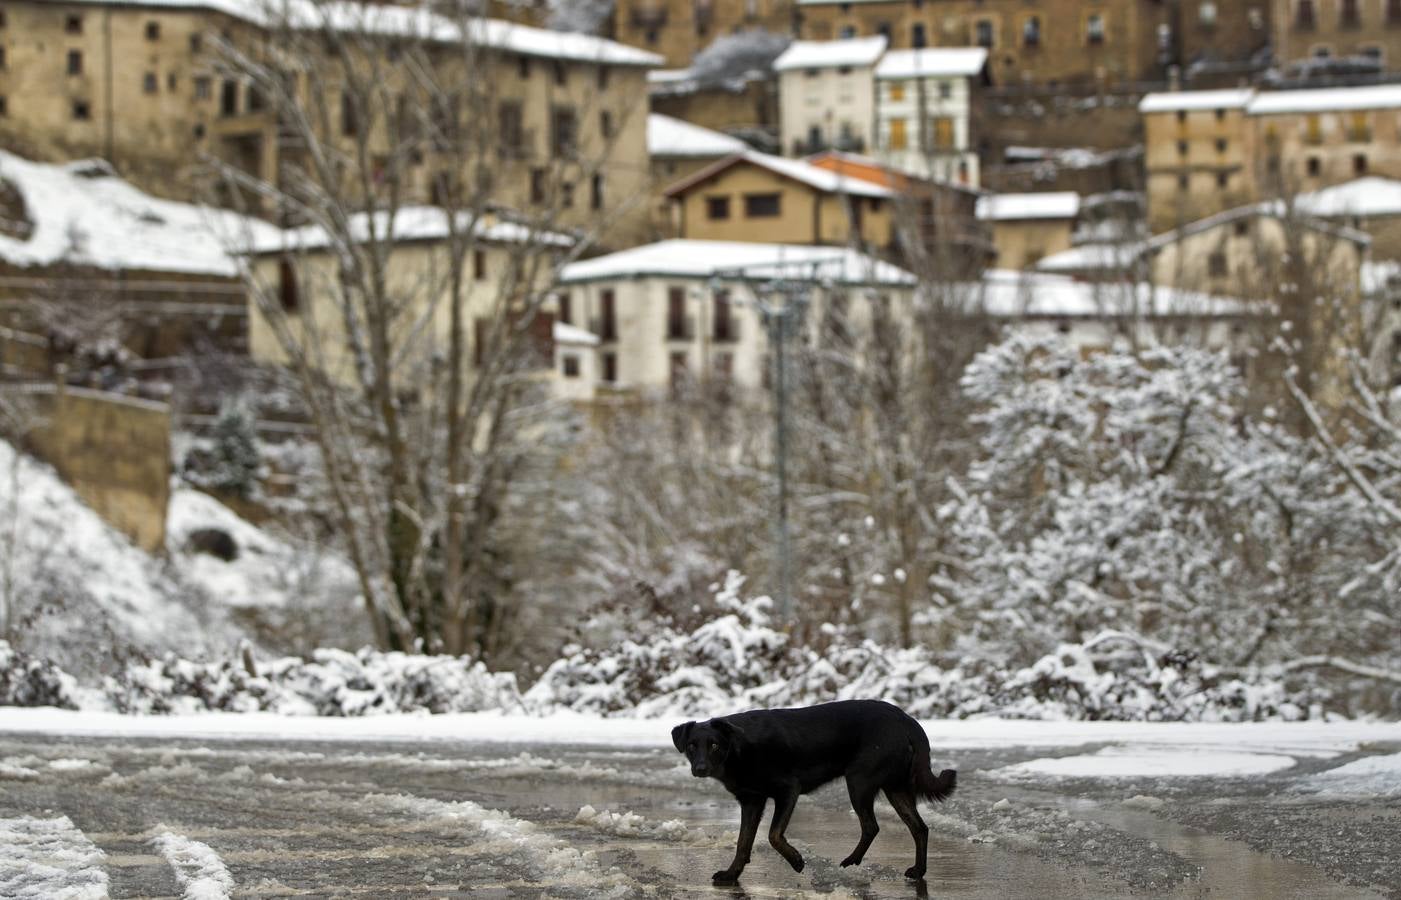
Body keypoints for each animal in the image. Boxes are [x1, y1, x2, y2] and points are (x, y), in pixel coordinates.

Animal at [672, 698, 958, 880]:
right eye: (692, 746)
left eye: (714, 745)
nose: (700, 768)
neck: (739, 747)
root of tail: (907, 720)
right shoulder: (751, 801)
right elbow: (743, 842)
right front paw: (732, 874)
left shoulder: (788, 790)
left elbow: (773, 835)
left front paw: (797, 861)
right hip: (895, 788)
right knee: (919, 828)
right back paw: (918, 871)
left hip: (859, 781)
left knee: (871, 826)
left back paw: (850, 861)